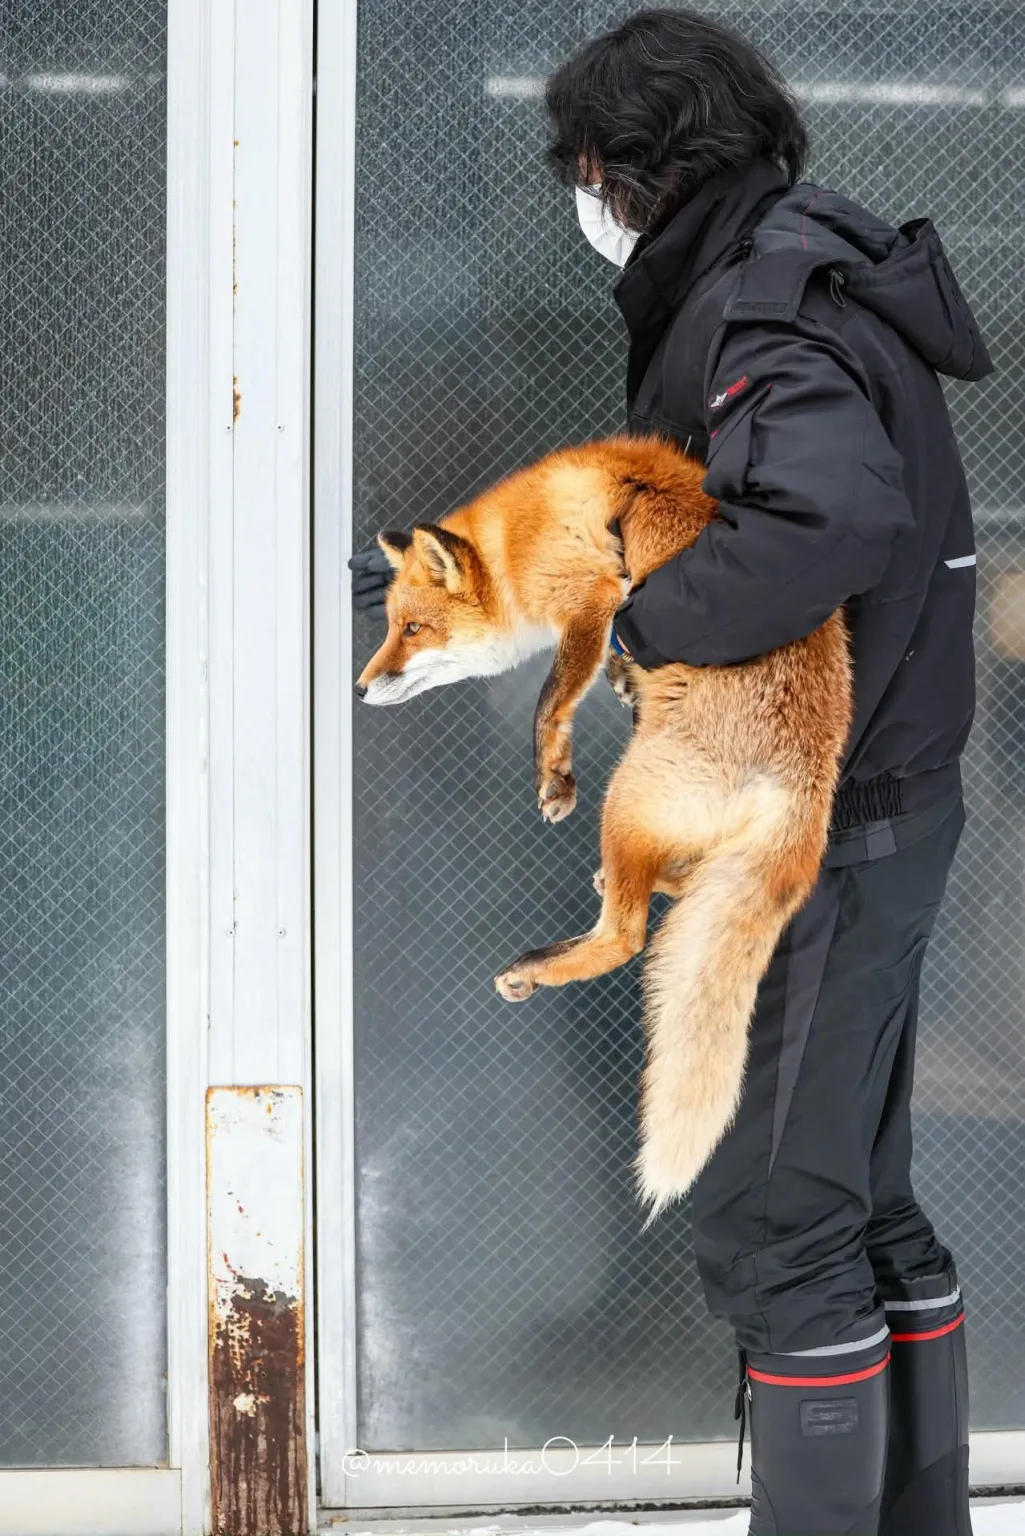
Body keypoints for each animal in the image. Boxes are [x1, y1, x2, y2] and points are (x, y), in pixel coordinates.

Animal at [355, 435, 852, 1217]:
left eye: (413, 629)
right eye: (389, 628)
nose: (359, 688)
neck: (518, 534)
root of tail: (807, 778)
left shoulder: (594, 597)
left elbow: (548, 698)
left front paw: (552, 773)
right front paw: (615, 687)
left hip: (624, 798)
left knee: (626, 935)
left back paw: (538, 965)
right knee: (670, 890)